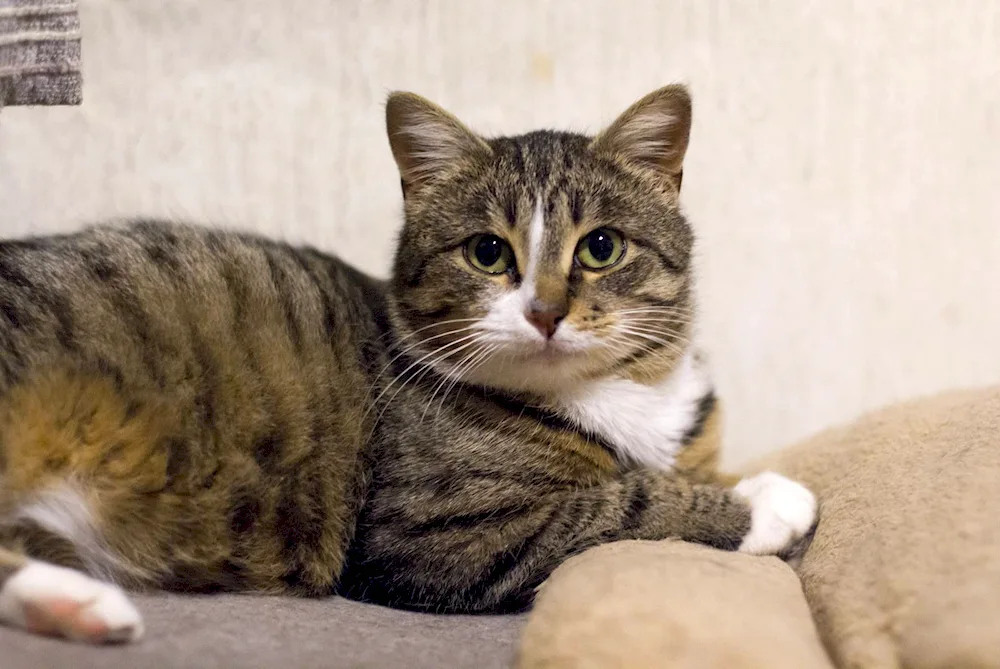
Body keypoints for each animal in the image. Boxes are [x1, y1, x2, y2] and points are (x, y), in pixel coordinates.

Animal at [0, 85, 816, 640]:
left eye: (601, 247)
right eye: (487, 252)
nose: (545, 311)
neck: (611, 392)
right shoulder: (424, 536)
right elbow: (624, 503)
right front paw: (767, 501)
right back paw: (85, 602)